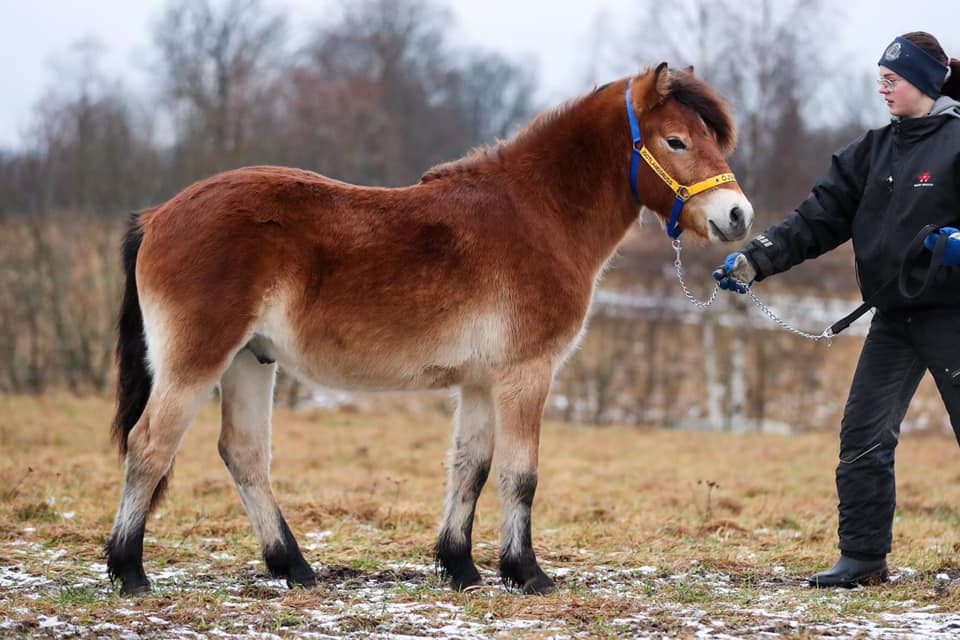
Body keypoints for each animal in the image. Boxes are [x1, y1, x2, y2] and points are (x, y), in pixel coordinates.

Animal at [105, 63, 752, 596]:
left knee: (243, 455)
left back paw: (294, 567)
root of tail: (158, 215)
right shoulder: (526, 375)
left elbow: (471, 467)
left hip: (249, 362)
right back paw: (128, 571)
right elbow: (520, 475)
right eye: (676, 140)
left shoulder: (481, 383)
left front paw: (460, 566)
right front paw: (527, 572)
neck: (537, 214)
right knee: (149, 446)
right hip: (196, 364)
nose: (738, 216)